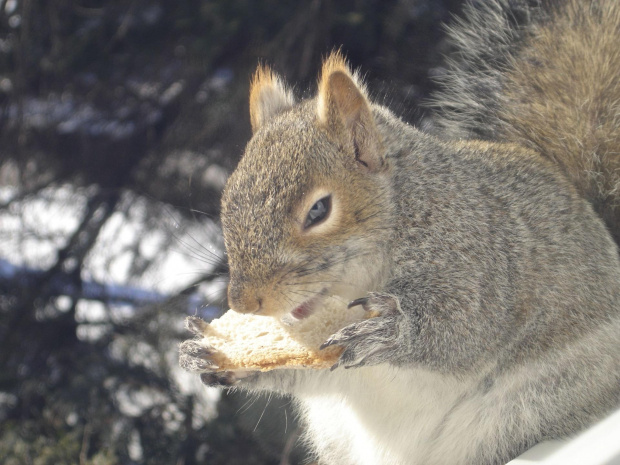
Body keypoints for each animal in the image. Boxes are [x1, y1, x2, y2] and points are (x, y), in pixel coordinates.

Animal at [179, 0, 620, 464]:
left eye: (318, 210)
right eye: (228, 196)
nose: (243, 303)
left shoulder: (479, 255)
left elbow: (468, 325)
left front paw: (393, 329)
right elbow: (307, 372)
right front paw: (208, 351)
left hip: (530, 407)